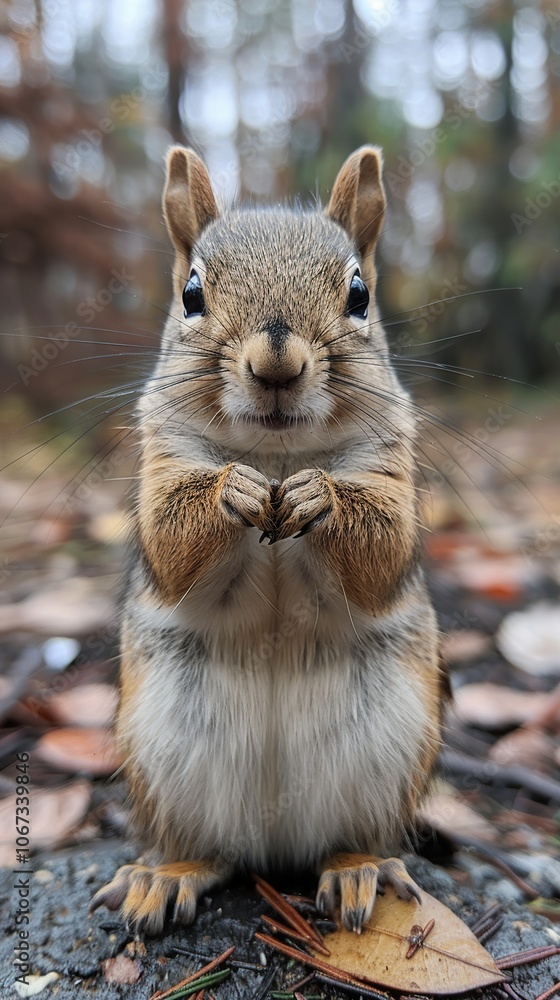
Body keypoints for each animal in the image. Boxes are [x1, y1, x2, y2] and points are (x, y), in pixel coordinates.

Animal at [90, 144, 448, 936]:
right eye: (191, 293)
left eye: (359, 294)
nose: (276, 365)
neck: (278, 454)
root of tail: (275, 849)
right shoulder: (163, 461)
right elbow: (168, 538)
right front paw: (235, 490)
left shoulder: (391, 468)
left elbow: (382, 551)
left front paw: (320, 496)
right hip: (162, 758)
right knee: (206, 849)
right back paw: (166, 876)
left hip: (393, 754)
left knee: (352, 840)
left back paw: (357, 871)